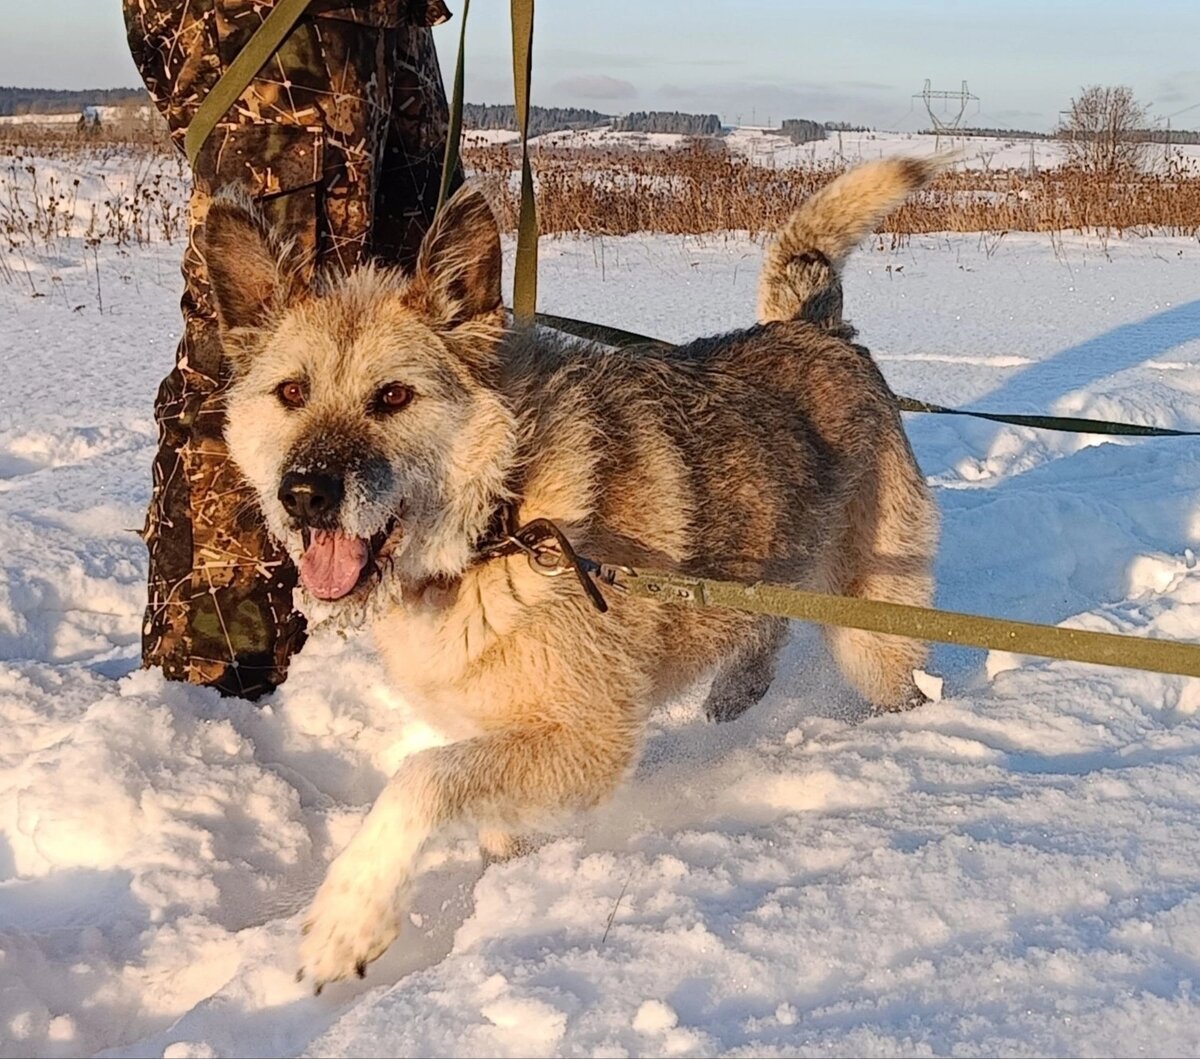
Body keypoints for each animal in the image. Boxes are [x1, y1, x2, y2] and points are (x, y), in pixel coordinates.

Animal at [204, 152, 936, 984]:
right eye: (290, 391)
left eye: (392, 395)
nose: (305, 493)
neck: (500, 519)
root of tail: (820, 329)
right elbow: (488, 818)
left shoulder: (590, 738)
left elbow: (421, 778)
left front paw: (348, 917)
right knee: (765, 623)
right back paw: (735, 693)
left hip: (873, 627)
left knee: (890, 676)